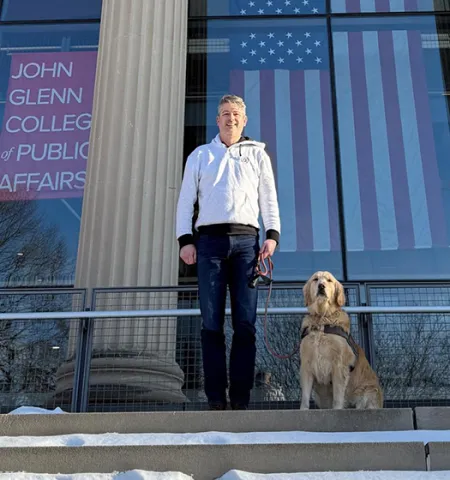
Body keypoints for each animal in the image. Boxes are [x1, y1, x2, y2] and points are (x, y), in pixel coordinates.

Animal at [298, 272, 384, 410]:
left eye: (329, 280)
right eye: (315, 279)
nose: (321, 286)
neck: (322, 320)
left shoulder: (339, 365)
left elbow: (338, 395)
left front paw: (337, 409)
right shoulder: (306, 364)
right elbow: (305, 395)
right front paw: (304, 410)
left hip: (369, 391)